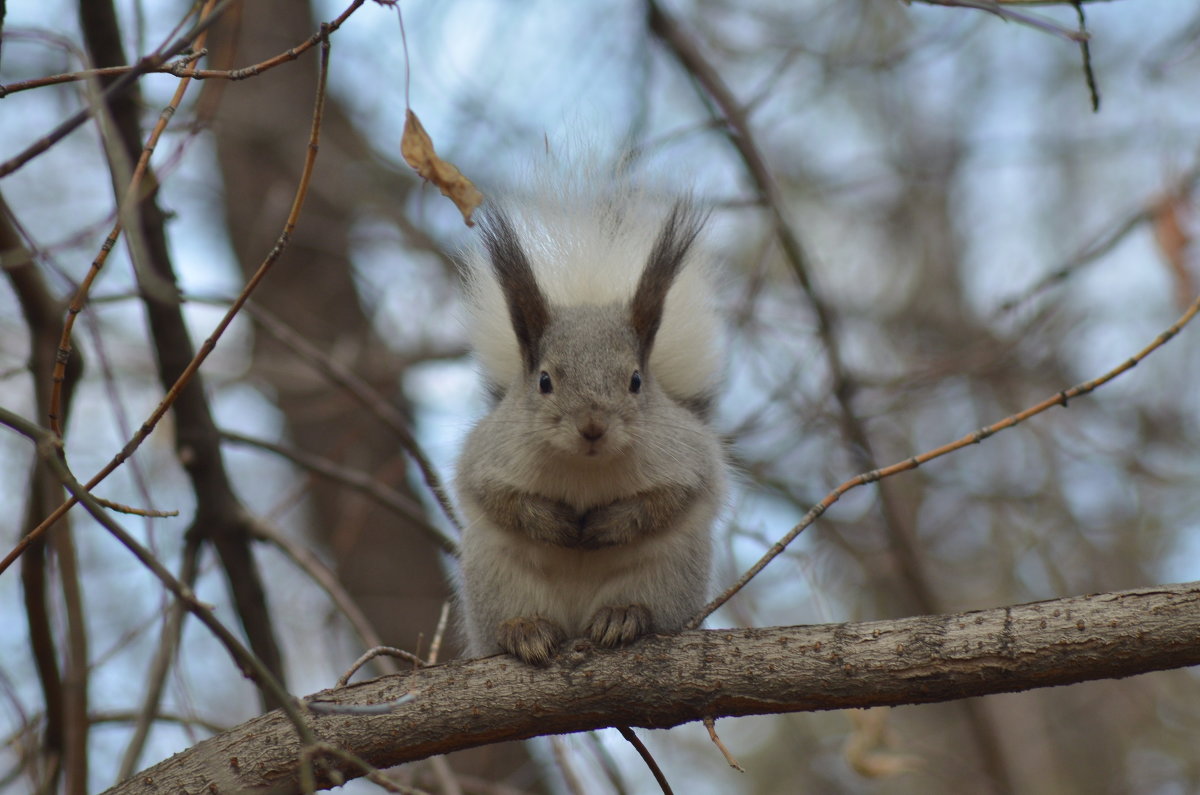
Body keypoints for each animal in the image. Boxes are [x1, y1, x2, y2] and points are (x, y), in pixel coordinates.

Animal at [453, 171, 724, 667]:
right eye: (544, 381)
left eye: (636, 381)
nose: (593, 427)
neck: (584, 467)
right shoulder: (486, 458)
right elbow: (498, 498)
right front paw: (553, 523)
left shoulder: (687, 458)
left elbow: (670, 499)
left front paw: (610, 524)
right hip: (495, 579)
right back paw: (524, 629)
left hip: (669, 576)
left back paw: (623, 616)